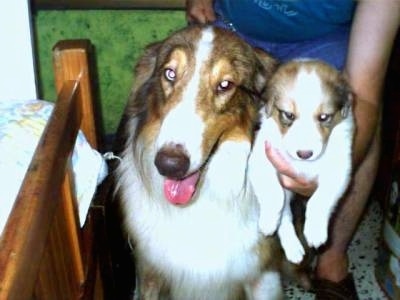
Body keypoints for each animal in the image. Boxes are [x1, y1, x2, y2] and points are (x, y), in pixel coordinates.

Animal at [248, 59, 354, 264]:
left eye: (324, 117)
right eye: (288, 115)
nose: (304, 154)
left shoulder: (339, 167)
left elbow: (319, 199)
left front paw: (315, 230)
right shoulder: (261, 159)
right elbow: (274, 194)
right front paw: (268, 220)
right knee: (285, 215)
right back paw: (292, 248)